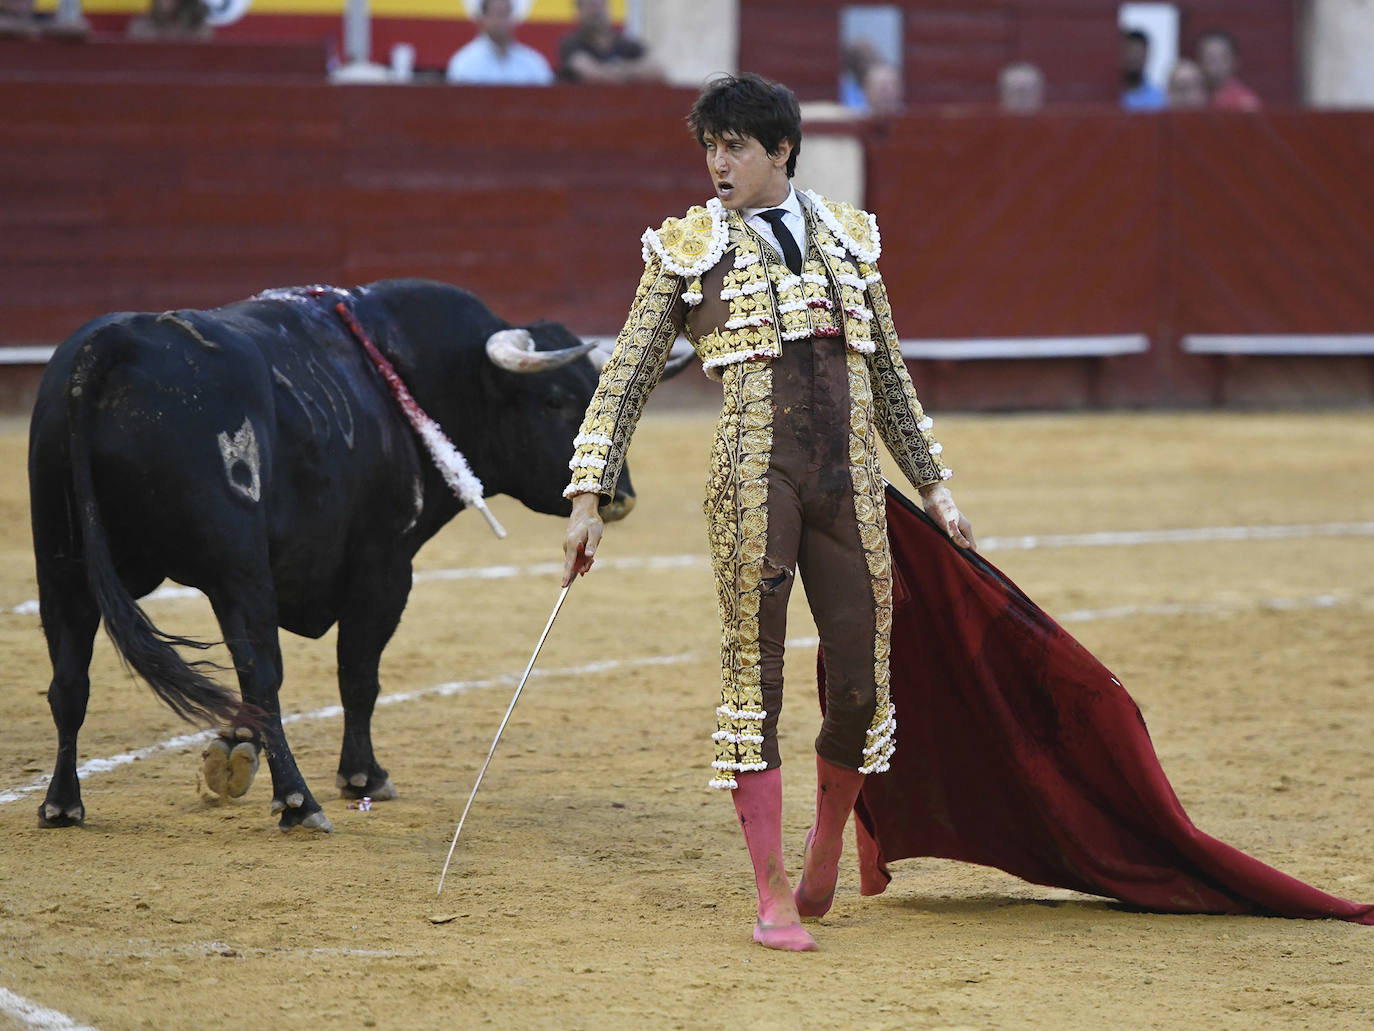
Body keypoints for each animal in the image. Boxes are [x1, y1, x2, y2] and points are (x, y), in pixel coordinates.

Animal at [29, 280, 673, 830]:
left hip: (61, 567)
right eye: (556, 399)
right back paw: (298, 802)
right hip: (238, 571)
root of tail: (111, 347)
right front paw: (363, 775)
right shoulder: (383, 569)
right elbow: (358, 674)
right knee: (264, 677)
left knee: (68, 681)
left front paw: (231, 754)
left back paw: (62, 804)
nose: (620, 498)